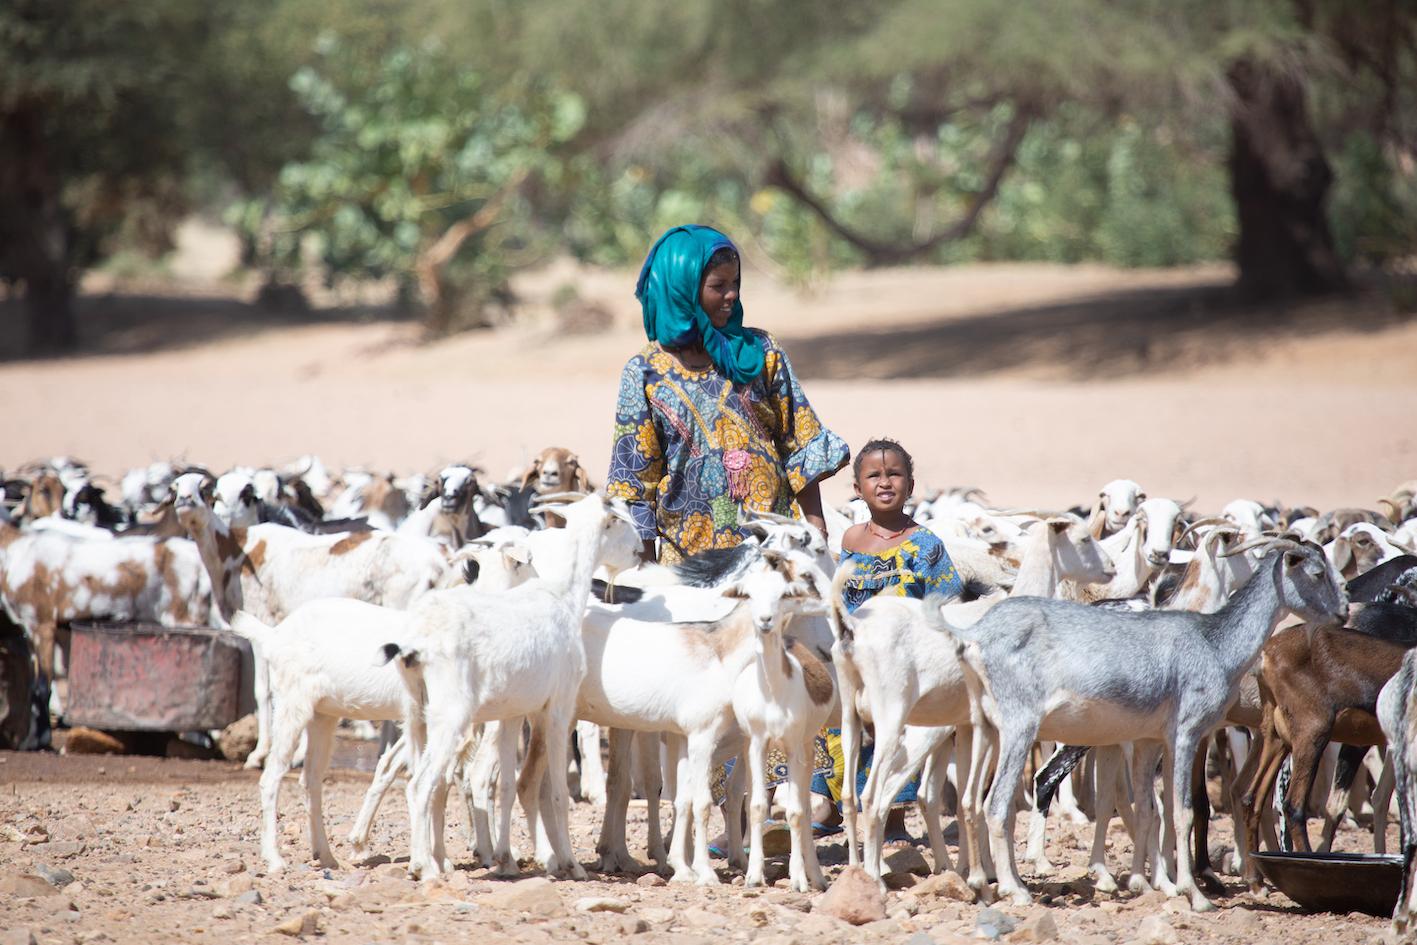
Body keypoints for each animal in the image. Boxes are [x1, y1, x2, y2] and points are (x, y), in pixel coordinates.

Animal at [935, 544, 1343, 912]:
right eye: (1317, 572)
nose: (1342, 612)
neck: (1212, 642)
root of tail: (976, 635)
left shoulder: (1149, 740)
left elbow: (1150, 809)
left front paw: (1148, 884)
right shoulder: (1188, 734)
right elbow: (1184, 809)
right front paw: (1195, 894)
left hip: (985, 730)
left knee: (971, 800)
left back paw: (982, 883)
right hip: (1021, 731)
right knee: (1001, 801)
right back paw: (1016, 889)